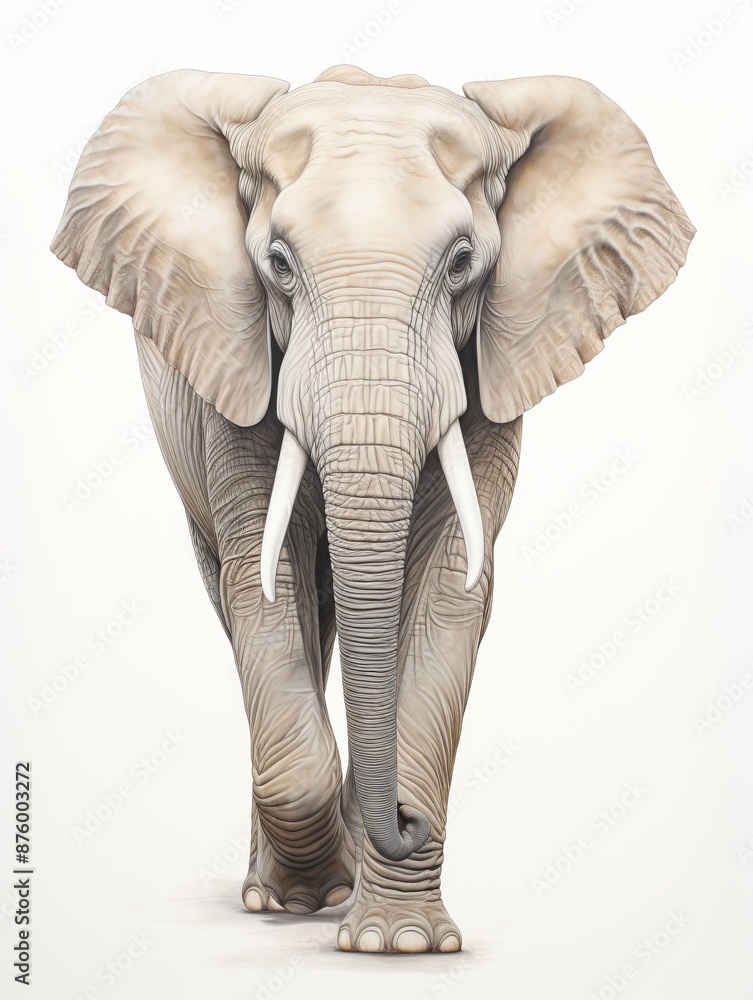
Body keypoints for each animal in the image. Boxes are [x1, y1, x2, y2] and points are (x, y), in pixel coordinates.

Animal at [52, 64, 694, 954]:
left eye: (461, 262)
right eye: (277, 263)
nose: (405, 817)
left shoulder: (486, 374)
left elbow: (447, 598)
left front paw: (402, 944)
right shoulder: (233, 376)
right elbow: (263, 586)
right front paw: (316, 894)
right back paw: (279, 895)